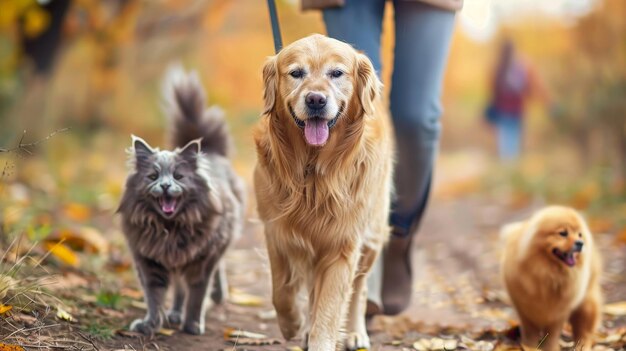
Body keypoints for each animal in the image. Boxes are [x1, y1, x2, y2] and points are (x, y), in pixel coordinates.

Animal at [118, 67, 245, 336]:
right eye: (153, 176)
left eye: (178, 176)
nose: (165, 186)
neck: (171, 229)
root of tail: (209, 149)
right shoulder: (149, 261)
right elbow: (154, 296)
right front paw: (150, 324)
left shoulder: (202, 261)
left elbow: (196, 295)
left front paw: (193, 324)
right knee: (178, 288)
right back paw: (175, 313)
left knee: (214, 273)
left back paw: (217, 295)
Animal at [498, 206, 600, 351]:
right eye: (563, 233)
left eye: (579, 234)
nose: (581, 243)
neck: (549, 274)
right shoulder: (525, 309)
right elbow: (530, 332)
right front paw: (528, 346)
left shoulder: (558, 313)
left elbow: (552, 334)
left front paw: (550, 348)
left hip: (586, 305)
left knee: (584, 332)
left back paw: (583, 346)